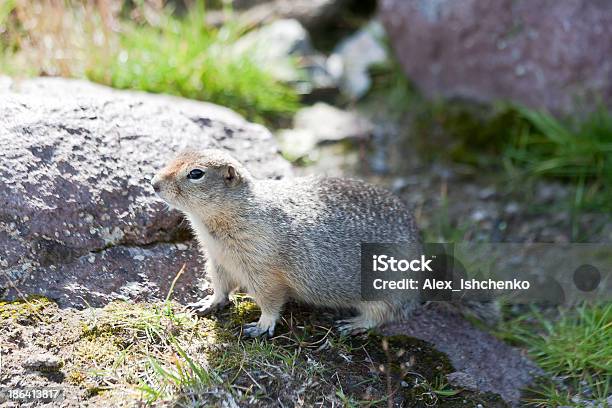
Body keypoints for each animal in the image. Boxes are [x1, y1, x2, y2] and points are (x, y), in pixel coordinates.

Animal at [153, 148, 492, 336]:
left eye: (196, 173)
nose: (153, 183)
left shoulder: (264, 267)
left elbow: (271, 300)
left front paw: (261, 326)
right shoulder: (217, 259)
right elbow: (221, 286)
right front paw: (207, 302)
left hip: (385, 288)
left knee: (390, 313)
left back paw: (355, 325)